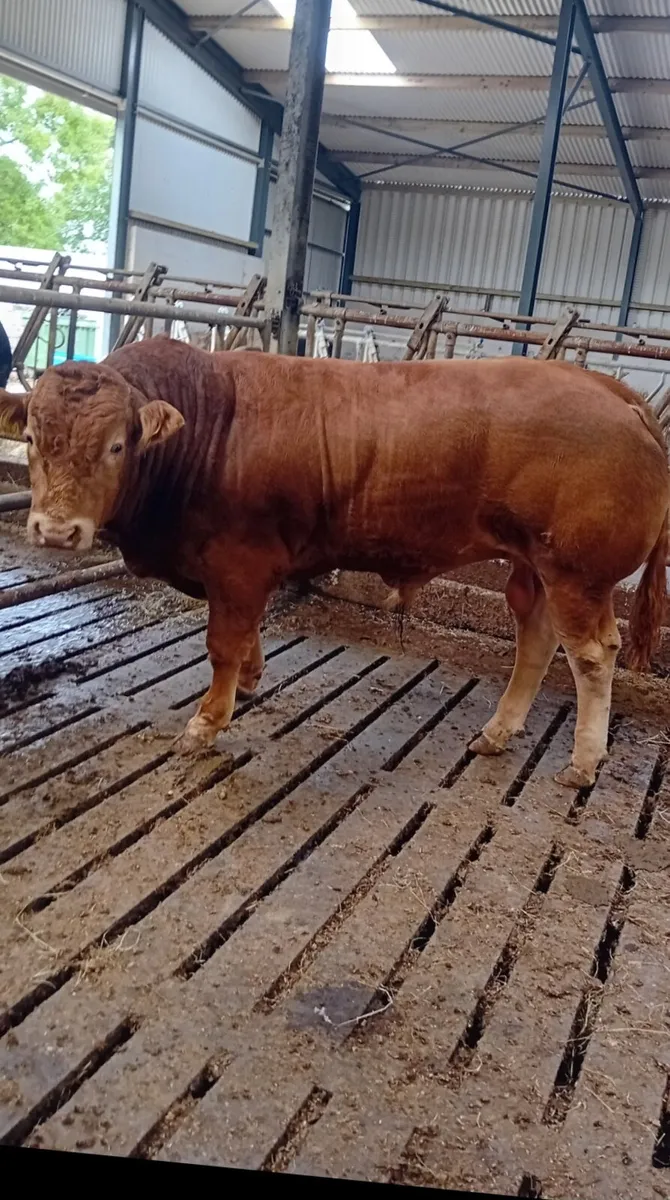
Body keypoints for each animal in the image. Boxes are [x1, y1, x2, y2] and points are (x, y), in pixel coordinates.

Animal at [1, 339, 667, 790]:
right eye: (30, 438)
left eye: (117, 445)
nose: (56, 530)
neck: (210, 426)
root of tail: (611, 389)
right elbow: (245, 637)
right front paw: (250, 678)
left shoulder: (239, 564)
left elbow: (222, 643)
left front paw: (206, 723)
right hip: (534, 567)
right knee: (537, 640)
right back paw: (498, 733)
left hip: (577, 573)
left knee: (592, 656)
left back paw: (583, 762)